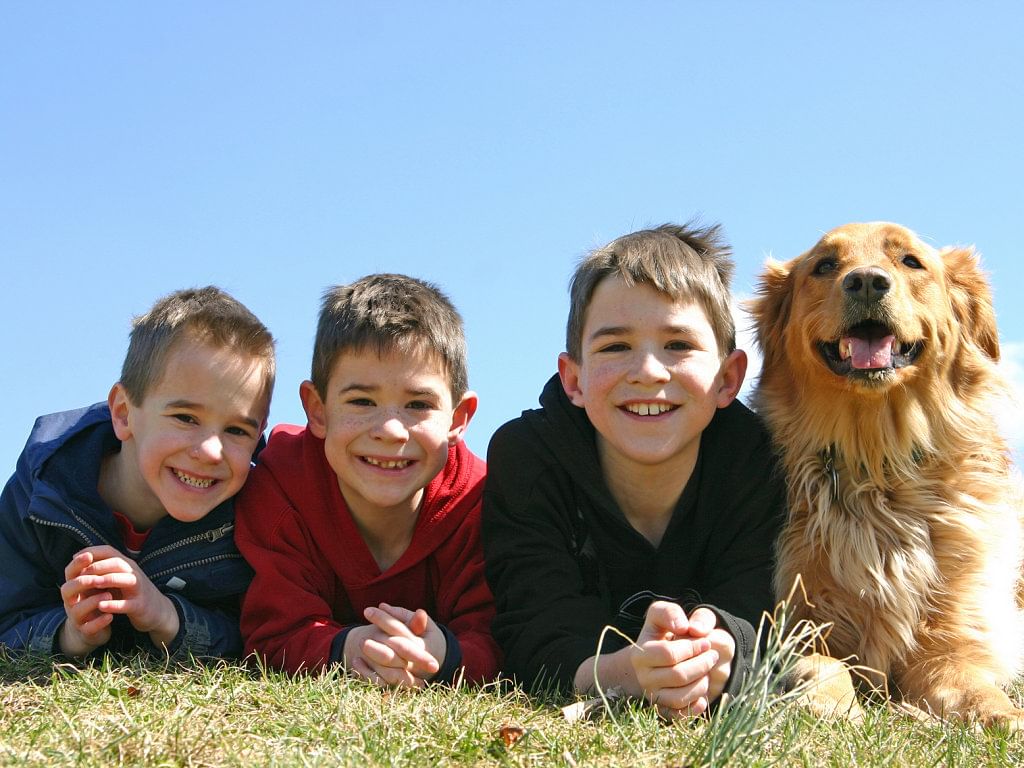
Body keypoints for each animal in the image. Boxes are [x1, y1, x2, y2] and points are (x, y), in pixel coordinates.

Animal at [753, 221, 1024, 729]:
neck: (878, 461)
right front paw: (830, 703)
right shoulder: (798, 621)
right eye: (825, 265)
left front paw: (1005, 717)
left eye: (911, 261)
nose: (865, 281)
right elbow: (823, 663)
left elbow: (976, 688)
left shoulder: (949, 641)